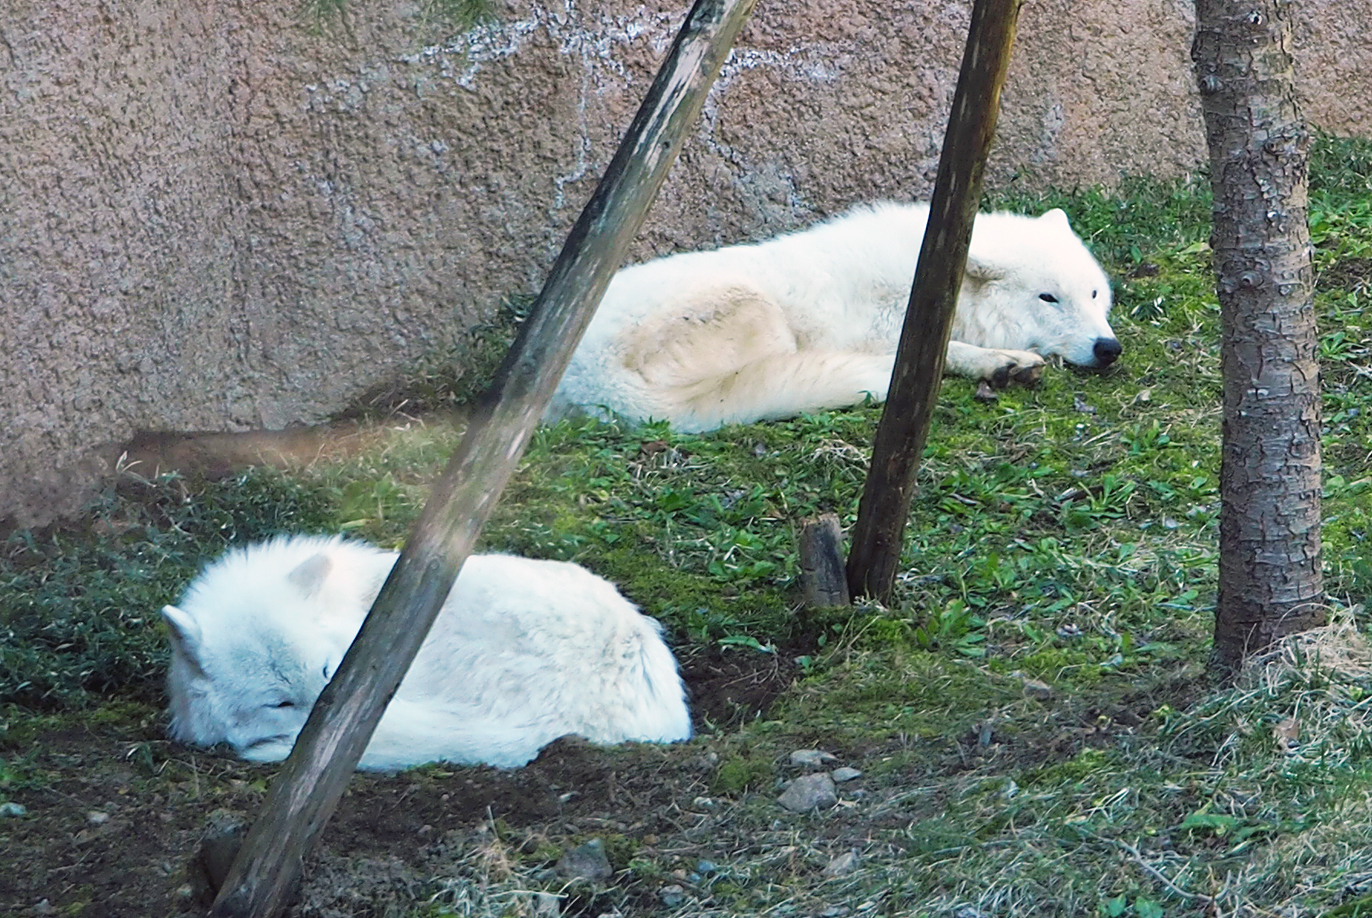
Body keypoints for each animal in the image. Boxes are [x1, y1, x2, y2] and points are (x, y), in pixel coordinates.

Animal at [543, 201, 1114, 430]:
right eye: (1048, 299)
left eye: (1092, 294)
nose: (1110, 349)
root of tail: (585, 381)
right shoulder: (889, 335)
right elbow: (951, 351)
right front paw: (1002, 362)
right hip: (757, 310)